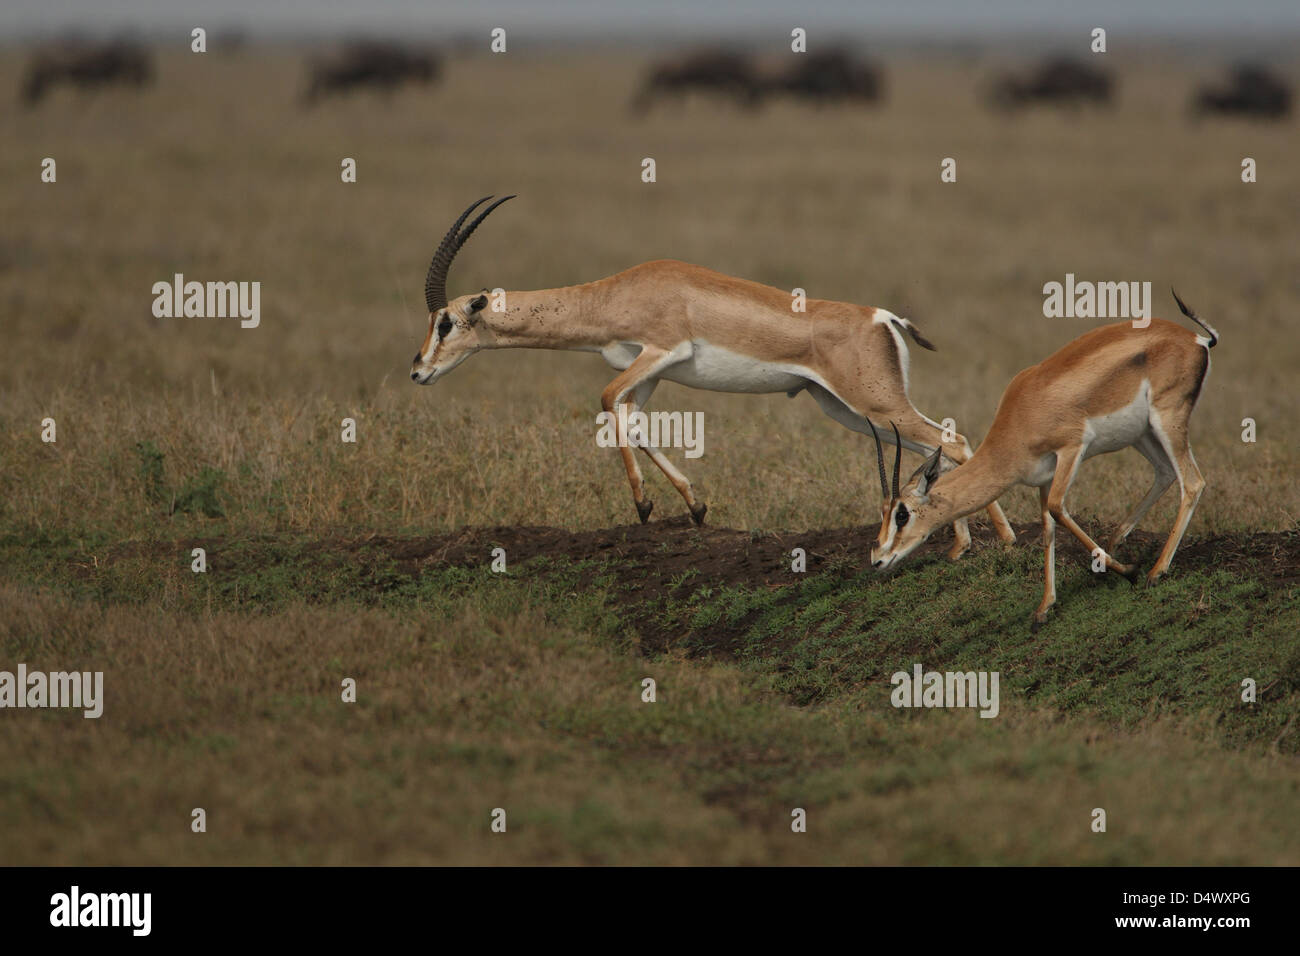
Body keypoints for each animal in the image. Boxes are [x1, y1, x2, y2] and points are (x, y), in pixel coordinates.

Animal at [411, 196, 1016, 553]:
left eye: (445, 322)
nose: (418, 371)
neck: (617, 293)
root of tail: (884, 317)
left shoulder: (661, 350)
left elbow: (606, 402)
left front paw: (644, 506)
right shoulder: (648, 373)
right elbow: (632, 419)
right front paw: (695, 507)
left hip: (874, 403)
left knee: (952, 440)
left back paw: (994, 541)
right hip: (846, 408)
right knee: (931, 451)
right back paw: (961, 544)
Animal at [866, 291, 1218, 628]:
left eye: (901, 514)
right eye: (883, 512)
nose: (877, 559)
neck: (1020, 417)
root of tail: (1197, 340)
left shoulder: (1071, 449)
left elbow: (1058, 508)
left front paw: (1129, 572)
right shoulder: (1044, 476)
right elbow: (1048, 529)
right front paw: (1045, 607)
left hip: (1166, 419)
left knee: (1192, 482)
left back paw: (1155, 572)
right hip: (1142, 434)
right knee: (1165, 473)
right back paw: (1118, 541)